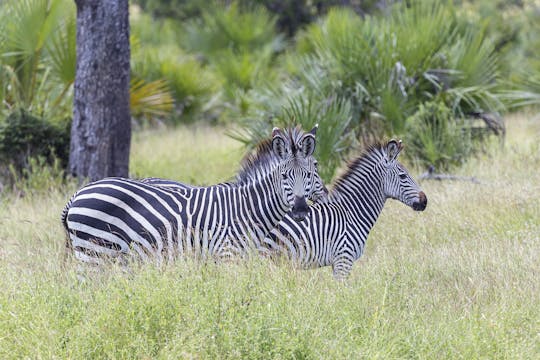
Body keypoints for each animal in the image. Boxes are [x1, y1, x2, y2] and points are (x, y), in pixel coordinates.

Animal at [61, 124, 326, 264]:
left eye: (312, 171)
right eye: (285, 176)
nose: (300, 210)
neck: (248, 208)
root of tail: (77, 194)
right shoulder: (227, 255)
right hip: (96, 251)